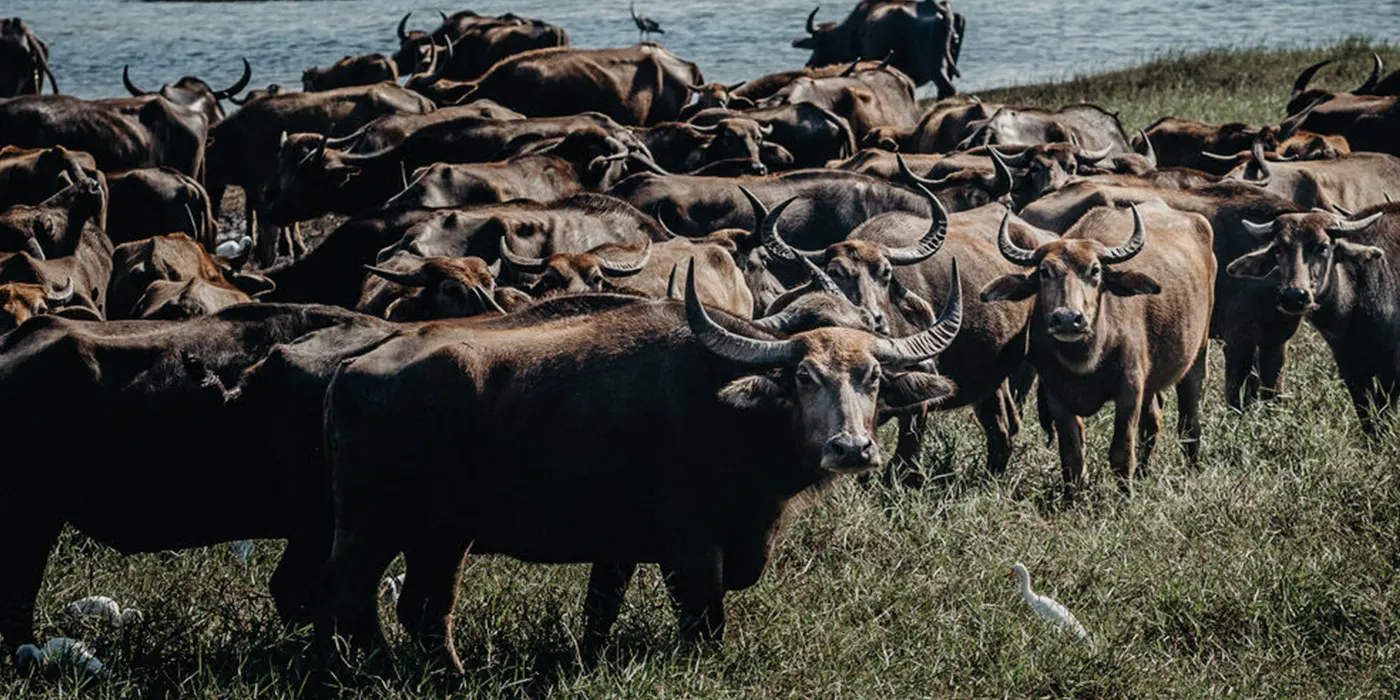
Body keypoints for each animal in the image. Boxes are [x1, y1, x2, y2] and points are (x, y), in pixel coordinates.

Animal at [316, 264, 963, 669]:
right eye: (804, 376)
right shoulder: (691, 550)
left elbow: (598, 613)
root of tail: (352, 367)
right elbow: (704, 624)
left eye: (871, 377)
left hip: (442, 536)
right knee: (351, 599)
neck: (727, 408)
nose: (851, 448)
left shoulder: (618, 549)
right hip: (371, 528)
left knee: (421, 609)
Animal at [980, 201, 1220, 487]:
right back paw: (1144, 472)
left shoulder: (1130, 388)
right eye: (1044, 272)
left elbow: (1121, 454)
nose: (1067, 319)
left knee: (1189, 420)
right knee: (1153, 420)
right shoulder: (1055, 394)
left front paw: (1126, 493)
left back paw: (1191, 467)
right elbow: (1072, 458)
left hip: (1198, 354)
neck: (1086, 358)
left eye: (1095, 270)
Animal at [1226, 204, 1400, 431]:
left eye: (1323, 246)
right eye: (1278, 249)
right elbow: (1367, 418)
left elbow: (1384, 417)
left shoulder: (1391, 371)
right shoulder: (1350, 368)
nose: (1294, 297)